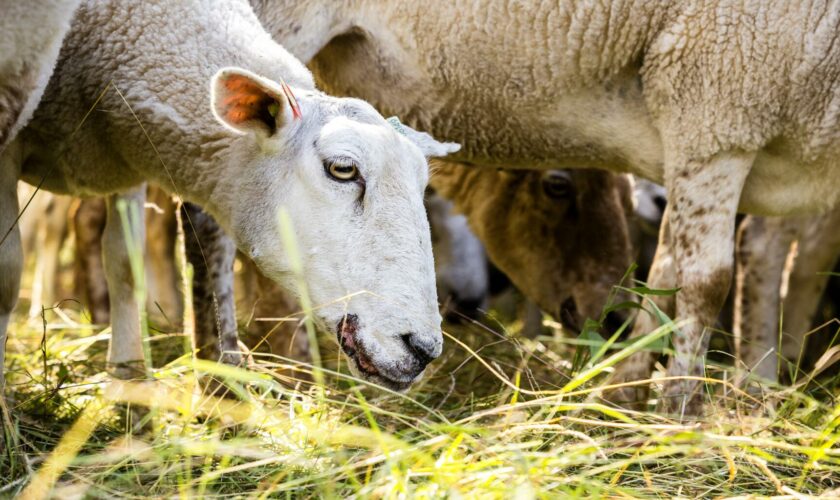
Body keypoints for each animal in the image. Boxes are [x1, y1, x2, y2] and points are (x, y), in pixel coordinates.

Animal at [251, 0, 840, 414]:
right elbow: (706, 281)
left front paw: (627, 400)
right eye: (557, 186)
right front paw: (682, 412)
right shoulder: (717, 111)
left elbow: (667, 275)